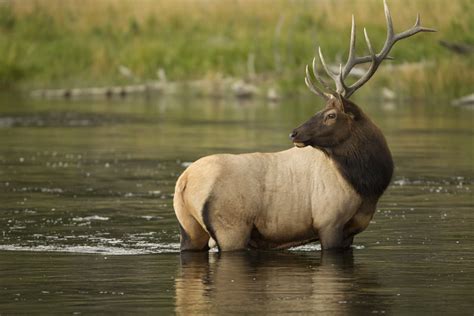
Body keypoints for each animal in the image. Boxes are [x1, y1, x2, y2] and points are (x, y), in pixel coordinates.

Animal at [173, 0, 434, 252]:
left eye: (330, 114)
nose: (294, 133)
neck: (366, 186)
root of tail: (185, 182)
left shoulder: (350, 231)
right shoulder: (329, 221)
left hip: (189, 229)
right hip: (231, 226)